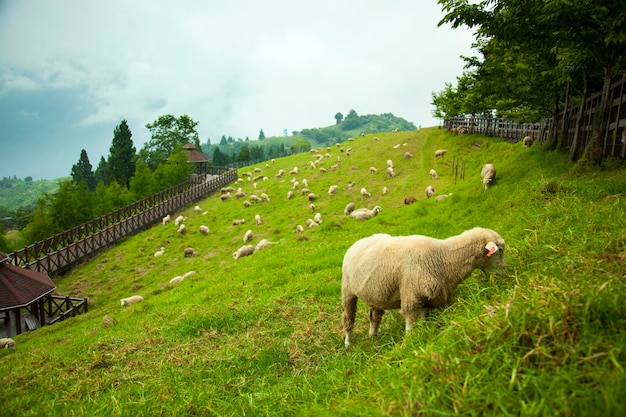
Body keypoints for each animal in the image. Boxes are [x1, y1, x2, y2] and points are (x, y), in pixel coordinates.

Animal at [338, 226, 504, 346]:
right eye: (500, 250)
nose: (504, 274)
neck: (444, 257)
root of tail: (357, 242)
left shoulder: (428, 296)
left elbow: (424, 318)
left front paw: (424, 333)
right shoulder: (411, 294)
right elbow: (410, 322)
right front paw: (409, 341)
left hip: (376, 291)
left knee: (374, 316)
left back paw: (373, 337)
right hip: (347, 289)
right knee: (348, 317)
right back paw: (348, 344)